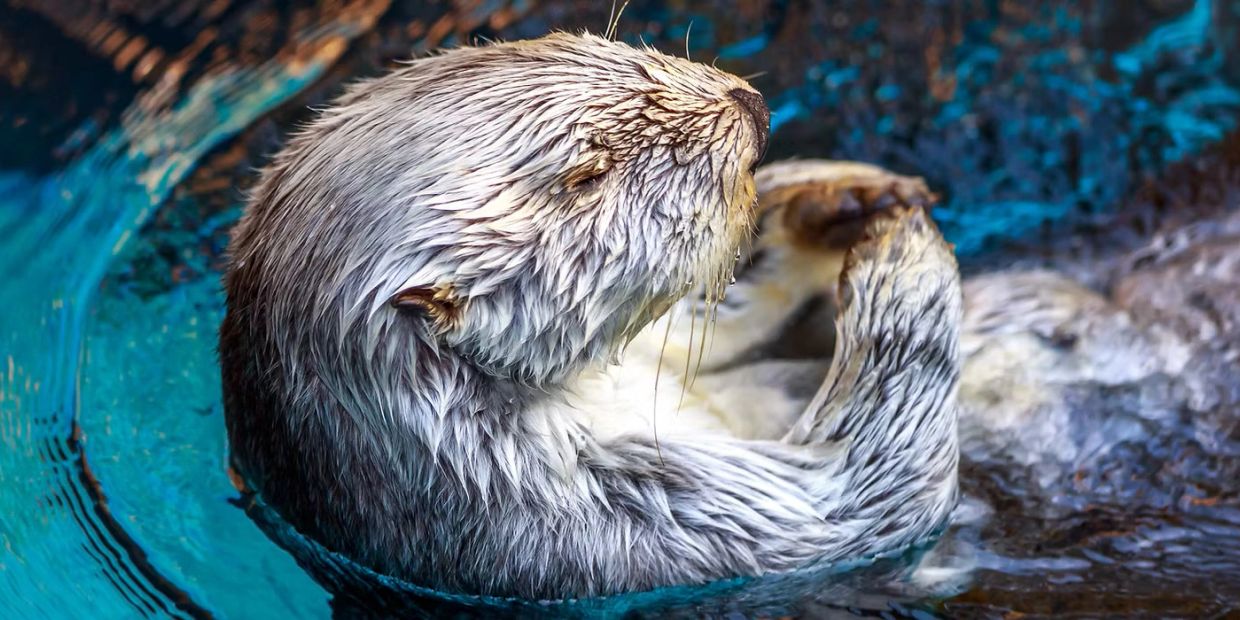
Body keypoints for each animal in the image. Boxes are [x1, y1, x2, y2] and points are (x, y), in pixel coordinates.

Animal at [220, 33, 963, 600]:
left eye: (608, 48)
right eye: (587, 174)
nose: (750, 107)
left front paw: (843, 200)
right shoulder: (648, 524)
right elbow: (875, 486)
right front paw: (898, 248)